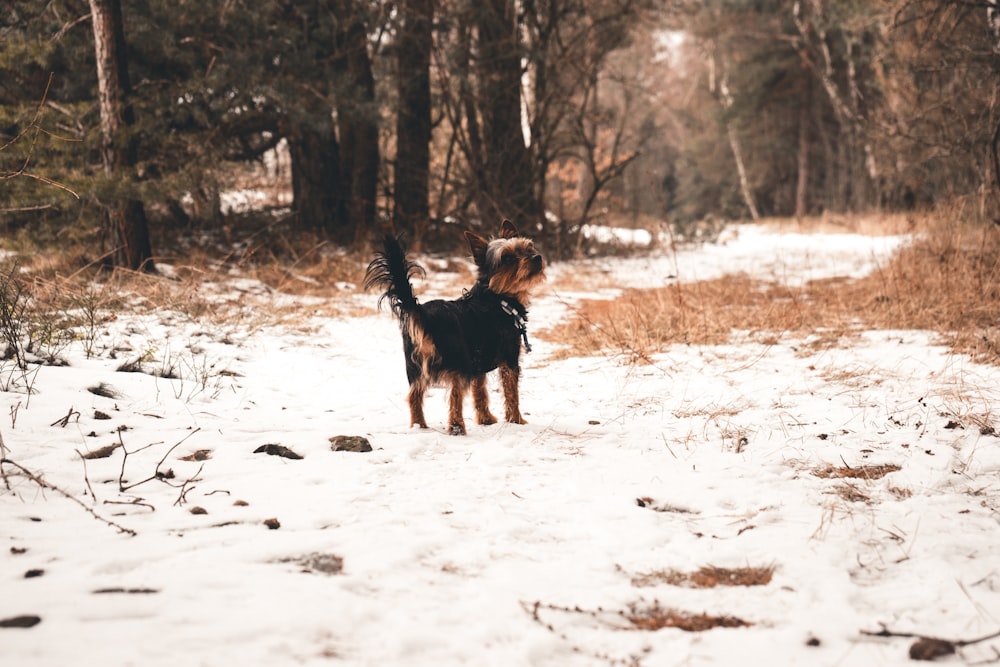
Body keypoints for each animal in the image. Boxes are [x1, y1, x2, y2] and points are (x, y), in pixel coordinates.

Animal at [366, 222, 544, 436]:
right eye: (508, 258)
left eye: (529, 248)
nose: (537, 257)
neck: (498, 299)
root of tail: (423, 313)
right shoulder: (509, 360)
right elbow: (512, 394)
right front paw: (516, 421)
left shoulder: (478, 365)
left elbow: (480, 392)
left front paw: (485, 419)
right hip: (459, 366)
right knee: (455, 397)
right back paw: (457, 428)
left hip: (416, 369)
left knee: (414, 396)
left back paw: (420, 427)